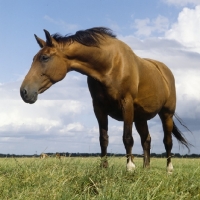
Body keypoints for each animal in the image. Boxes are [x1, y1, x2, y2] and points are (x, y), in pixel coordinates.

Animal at [20, 27, 191, 173]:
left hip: (166, 114)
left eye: (45, 57)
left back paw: (169, 169)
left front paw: (130, 168)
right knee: (146, 139)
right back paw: (146, 169)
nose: (24, 92)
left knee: (167, 141)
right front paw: (103, 168)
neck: (109, 65)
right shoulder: (99, 107)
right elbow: (103, 139)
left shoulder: (126, 104)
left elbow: (127, 137)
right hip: (140, 117)